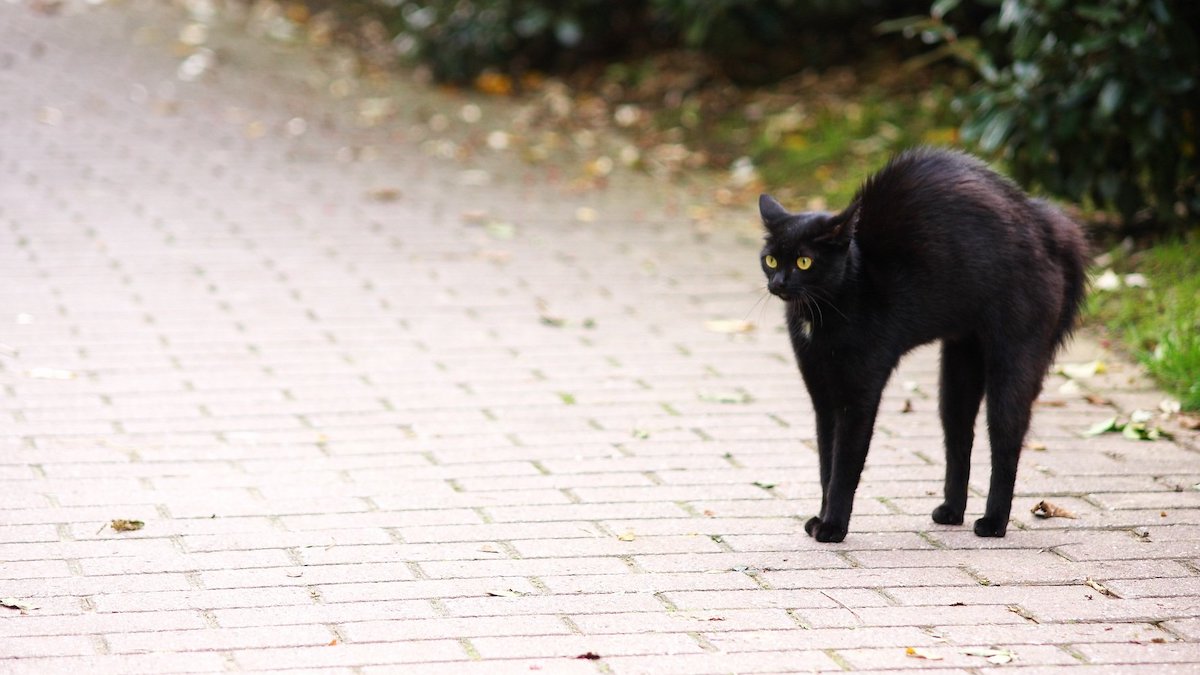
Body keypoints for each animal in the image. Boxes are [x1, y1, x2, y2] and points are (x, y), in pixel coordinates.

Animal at [758, 147, 1089, 540]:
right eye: (771, 259)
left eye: (804, 262)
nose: (778, 282)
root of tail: (1047, 225)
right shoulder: (822, 396)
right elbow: (826, 461)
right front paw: (821, 517)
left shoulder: (859, 394)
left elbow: (845, 464)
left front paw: (833, 526)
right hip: (960, 365)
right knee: (959, 437)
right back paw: (952, 511)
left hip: (1015, 356)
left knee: (1006, 440)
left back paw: (993, 523)